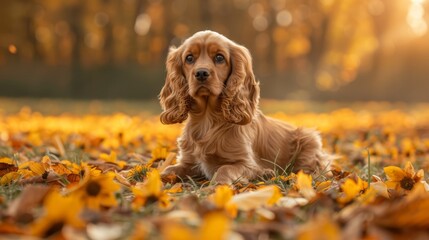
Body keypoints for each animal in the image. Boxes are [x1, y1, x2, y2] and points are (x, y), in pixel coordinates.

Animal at [159, 30, 330, 184]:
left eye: (219, 57)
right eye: (189, 58)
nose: (201, 73)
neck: (207, 119)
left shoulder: (246, 163)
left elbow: (225, 169)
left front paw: (216, 186)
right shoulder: (189, 161)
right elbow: (169, 169)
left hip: (309, 141)